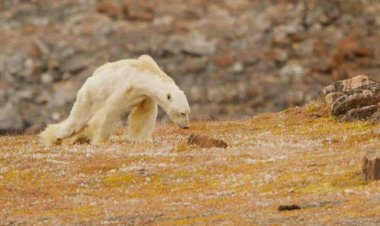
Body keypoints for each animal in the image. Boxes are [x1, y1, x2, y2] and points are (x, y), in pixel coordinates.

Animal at [39, 55, 190, 146]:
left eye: (188, 112)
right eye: (182, 113)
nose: (186, 126)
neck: (144, 73)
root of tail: (88, 80)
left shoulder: (145, 95)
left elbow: (144, 114)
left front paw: (142, 139)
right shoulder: (126, 87)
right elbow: (112, 110)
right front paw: (100, 141)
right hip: (90, 96)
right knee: (77, 121)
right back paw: (55, 137)